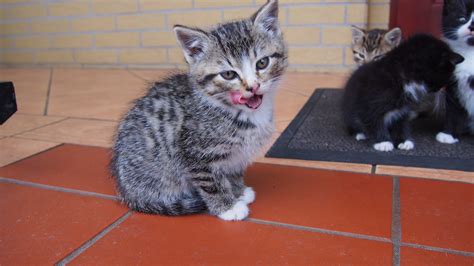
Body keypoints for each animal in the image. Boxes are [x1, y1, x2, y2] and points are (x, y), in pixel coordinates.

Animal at [111, 0, 288, 220]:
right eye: (229, 74)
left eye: (262, 63)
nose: (252, 86)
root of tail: (126, 193)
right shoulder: (194, 154)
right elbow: (211, 182)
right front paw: (228, 207)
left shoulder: (237, 155)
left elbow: (233, 171)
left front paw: (238, 191)